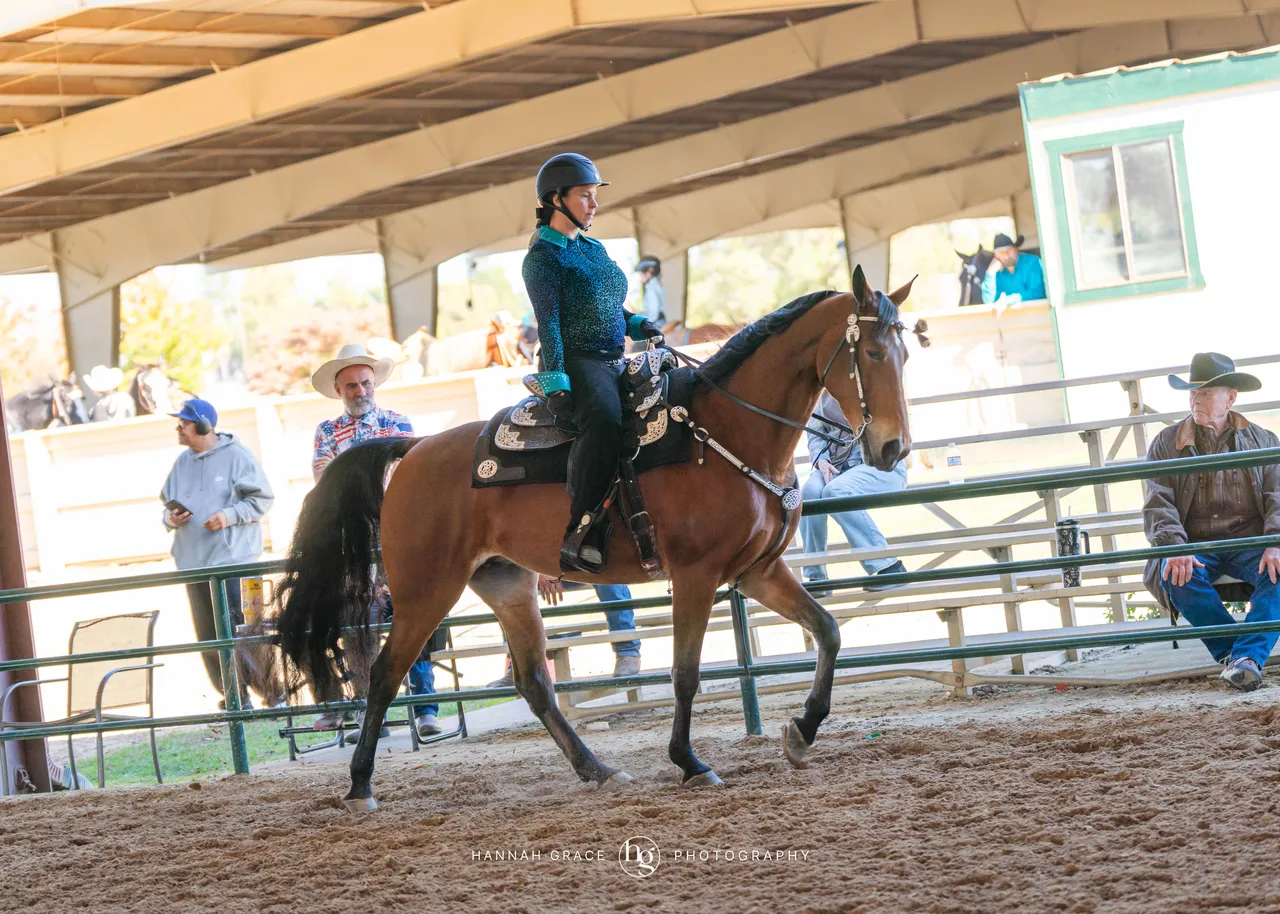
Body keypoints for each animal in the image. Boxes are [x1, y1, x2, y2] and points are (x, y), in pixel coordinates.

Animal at [275, 266, 924, 812]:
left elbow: (829, 631)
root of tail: (412, 449)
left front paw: (803, 730)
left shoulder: (757, 571)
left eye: (905, 352)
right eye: (870, 351)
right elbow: (685, 673)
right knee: (386, 674)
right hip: (425, 591)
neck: (727, 431)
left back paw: (597, 770)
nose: (894, 448)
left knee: (535, 682)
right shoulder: (696, 575)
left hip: (505, 582)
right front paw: (690, 762)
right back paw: (360, 787)